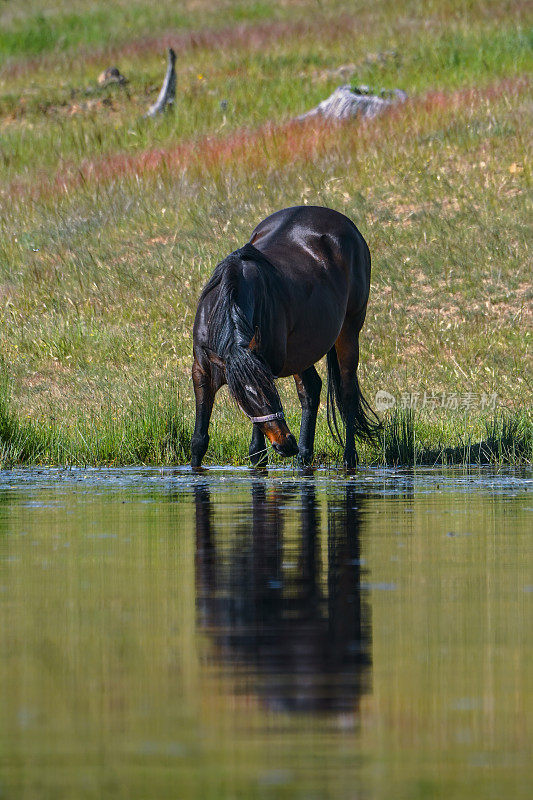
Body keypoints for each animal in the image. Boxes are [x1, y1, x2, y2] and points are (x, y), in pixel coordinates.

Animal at [190, 206, 378, 468]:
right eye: (244, 397)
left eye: (274, 392)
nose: (287, 443)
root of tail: (348, 225)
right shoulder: (202, 372)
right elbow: (199, 440)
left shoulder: (266, 363)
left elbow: (257, 449)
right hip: (303, 350)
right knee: (311, 390)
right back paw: (304, 456)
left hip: (350, 330)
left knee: (347, 392)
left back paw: (348, 458)